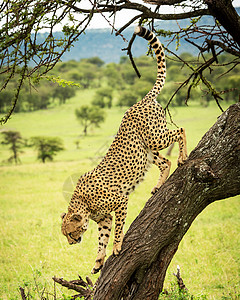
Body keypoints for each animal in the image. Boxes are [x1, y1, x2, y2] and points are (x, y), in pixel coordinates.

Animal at [61, 26, 188, 274]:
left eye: (70, 232)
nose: (71, 243)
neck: (84, 203)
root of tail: (141, 100)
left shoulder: (120, 202)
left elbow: (118, 229)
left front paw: (117, 247)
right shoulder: (104, 219)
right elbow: (102, 238)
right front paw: (98, 261)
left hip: (155, 137)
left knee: (180, 130)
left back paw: (183, 157)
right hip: (146, 150)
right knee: (164, 162)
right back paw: (159, 185)